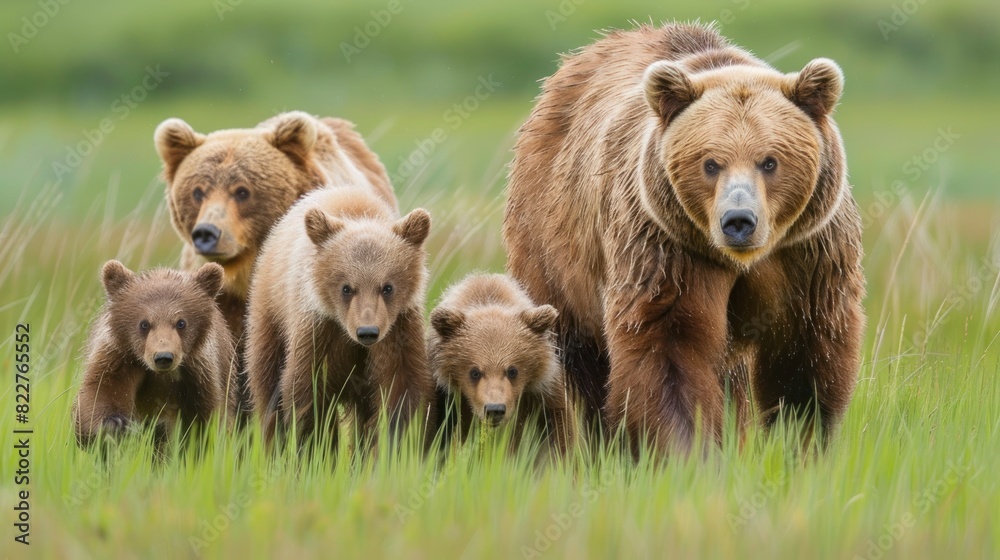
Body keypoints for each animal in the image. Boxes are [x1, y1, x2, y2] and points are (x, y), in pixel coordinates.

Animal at [72, 260, 235, 448]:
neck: (161, 376)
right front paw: (114, 425)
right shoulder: (119, 358)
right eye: (144, 324)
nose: (163, 357)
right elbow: (101, 391)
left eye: (181, 323)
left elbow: (202, 423)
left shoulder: (199, 375)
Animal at [245, 186, 434, 450]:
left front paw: (393, 446)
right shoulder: (319, 329)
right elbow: (307, 391)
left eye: (387, 287)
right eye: (346, 288)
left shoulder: (398, 329)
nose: (367, 332)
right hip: (271, 314)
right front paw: (315, 446)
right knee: (267, 381)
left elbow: (402, 388)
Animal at [428, 273, 573, 455]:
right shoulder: (446, 397)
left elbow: (559, 430)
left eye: (512, 371)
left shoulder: (543, 391)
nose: (495, 409)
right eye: (474, 372)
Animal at [503, 22, 865, 455]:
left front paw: (798, 439)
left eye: (770, 161)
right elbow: (671, 343)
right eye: (710, 163)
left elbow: (804, 348)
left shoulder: (807, 252)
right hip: (554, 244)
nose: (738, 221)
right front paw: (686, 448)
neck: (741, 259)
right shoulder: (668, 245)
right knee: (584, 357)